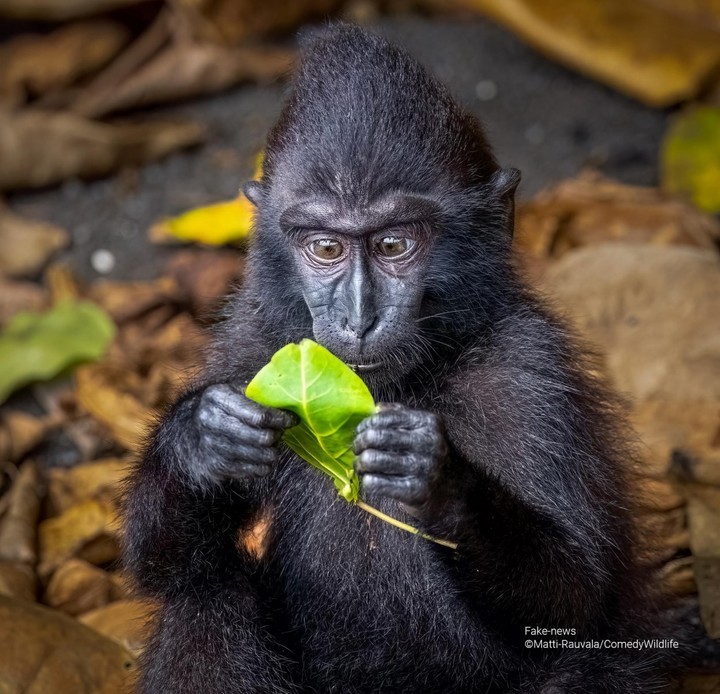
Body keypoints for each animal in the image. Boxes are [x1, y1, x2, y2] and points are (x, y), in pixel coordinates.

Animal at [125, 24, 676, 692]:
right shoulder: (252, 346)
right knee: (201, 599)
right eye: (326, 248)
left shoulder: (526, 375)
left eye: (393, 244)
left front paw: (438, 482)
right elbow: (163, 567)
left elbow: (577, 601)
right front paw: (203, 439)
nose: (358, 318)